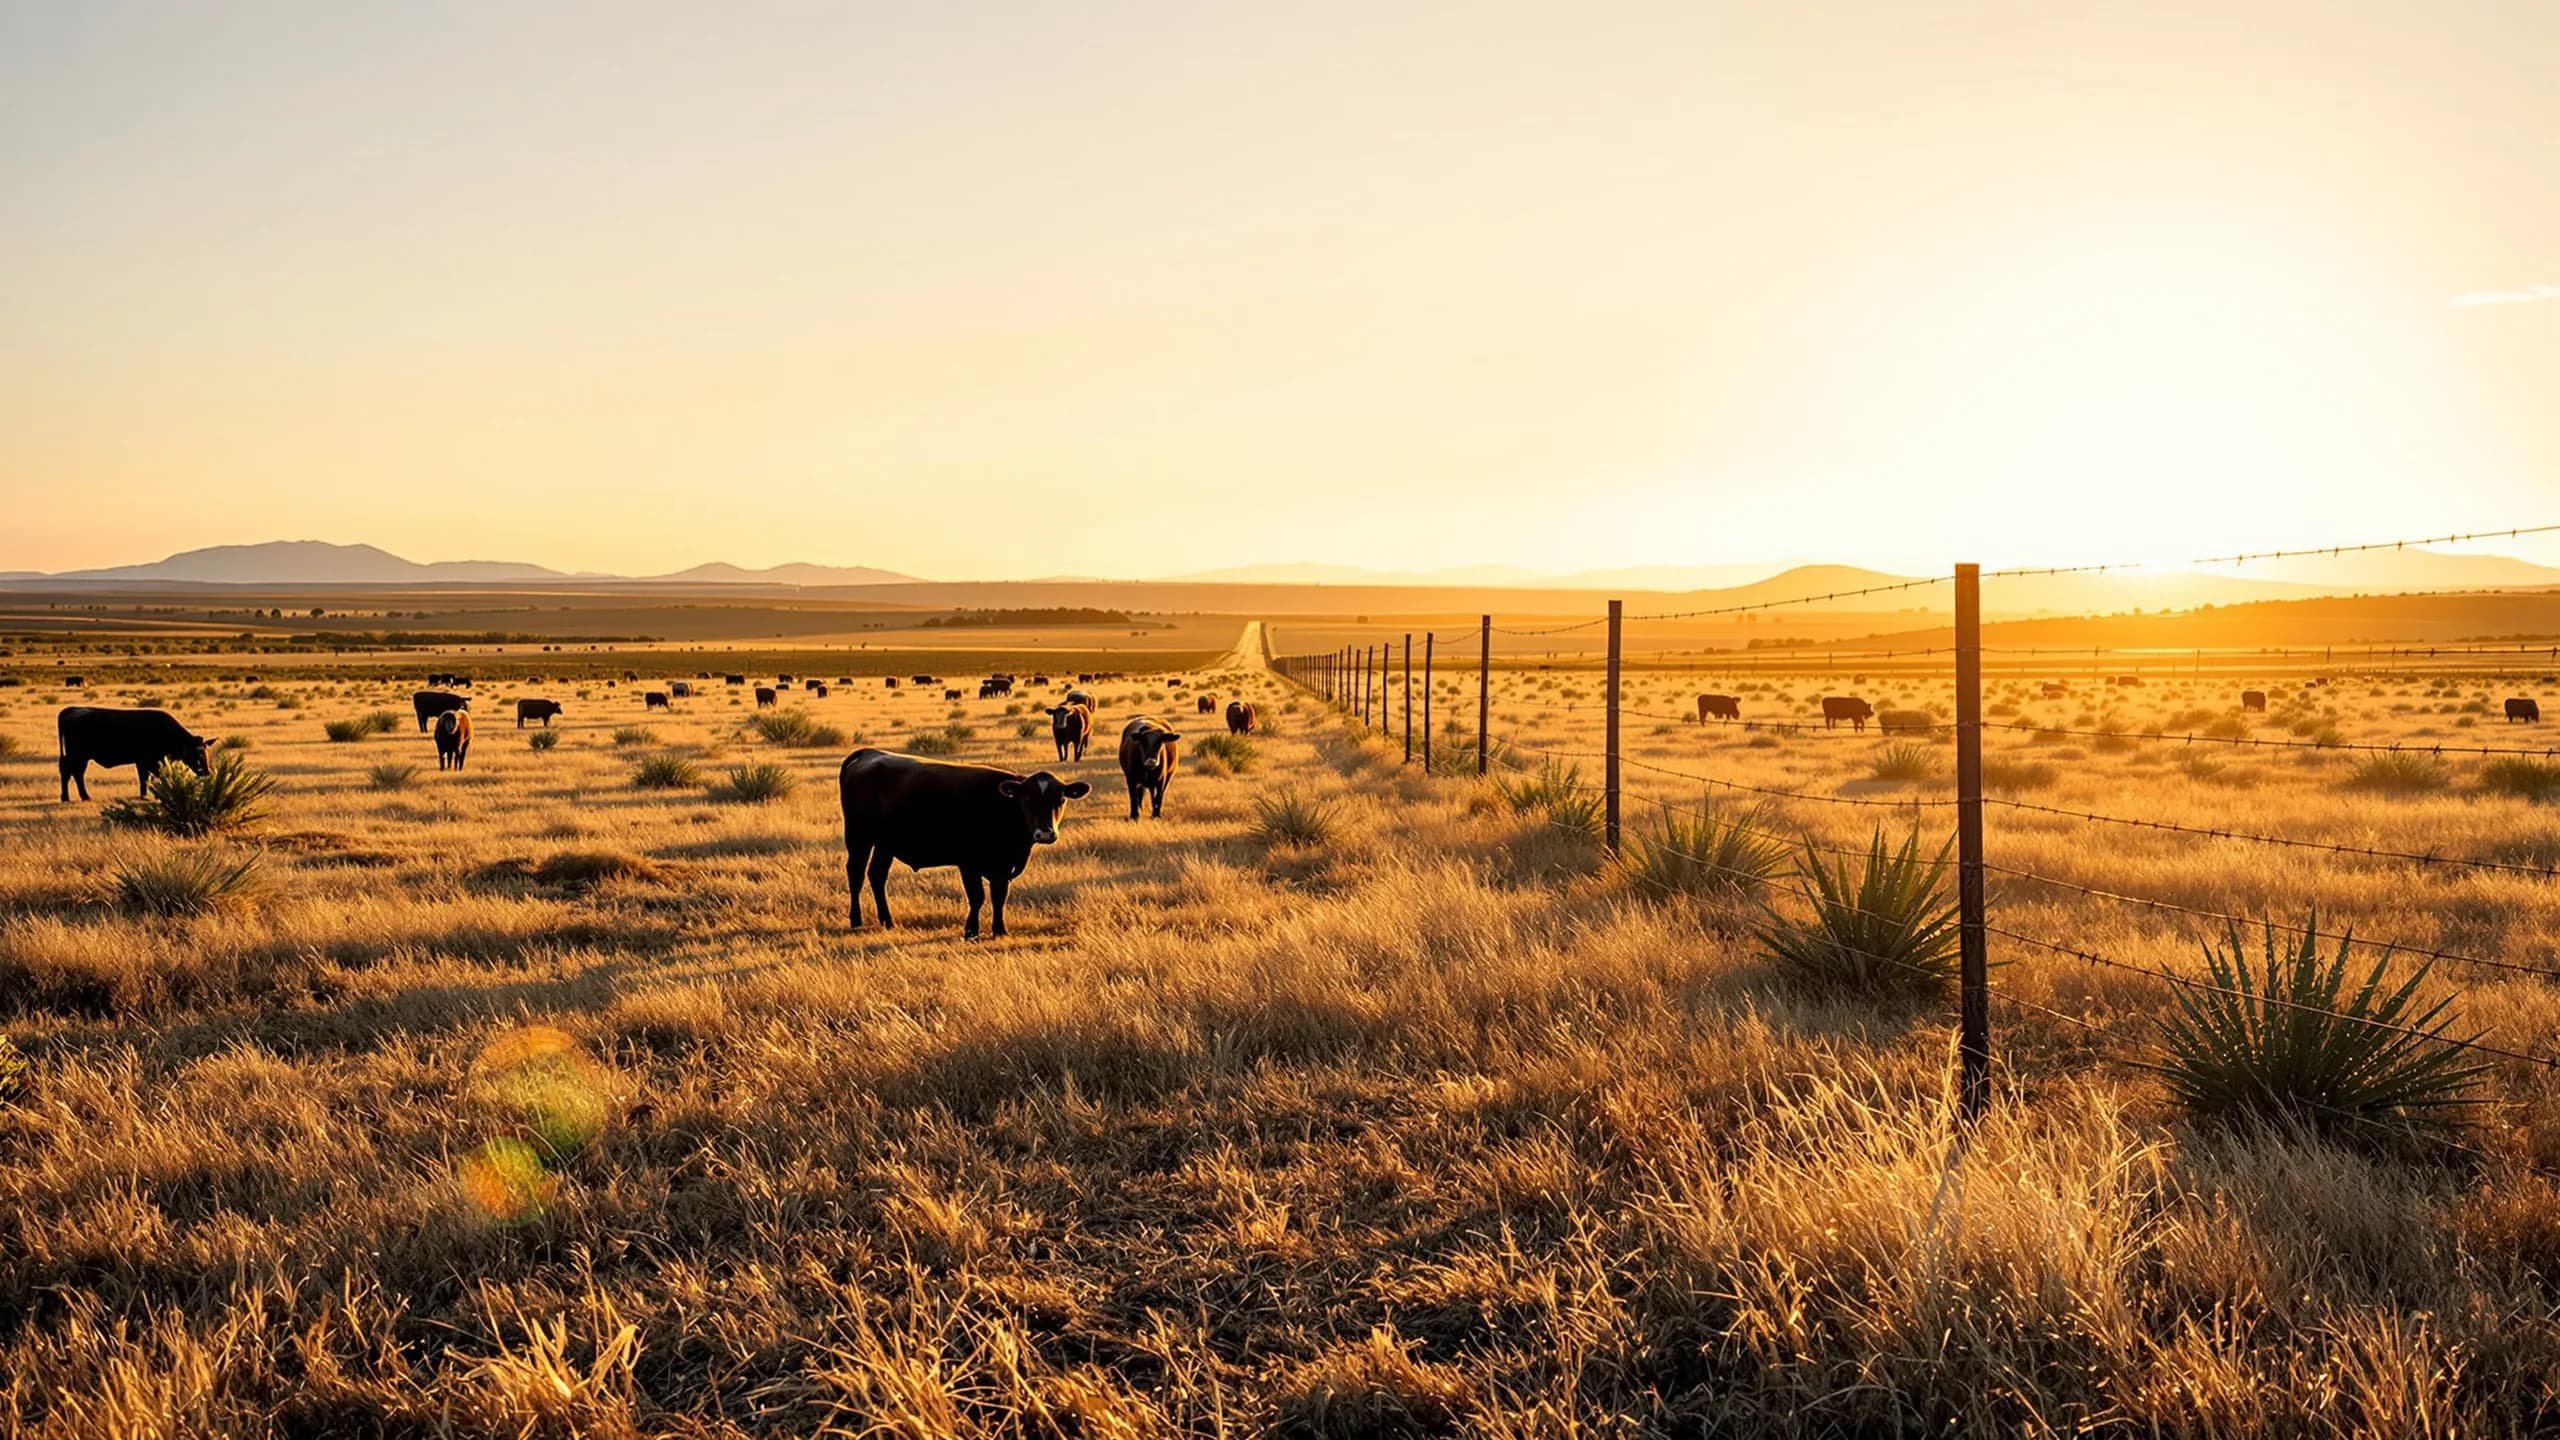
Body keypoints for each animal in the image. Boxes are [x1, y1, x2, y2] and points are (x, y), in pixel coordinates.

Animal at [57, 707, 212, 802]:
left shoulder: (144, 762)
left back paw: (67, 797)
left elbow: (145, 778)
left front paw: (144, 795)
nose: (206, 771)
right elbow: (147, 778)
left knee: (69, 773)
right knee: (74, 773)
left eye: (206, 752)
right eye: (197, 753)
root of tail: (72, 709)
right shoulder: (147, 761)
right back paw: (83, 797)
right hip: (78, 757)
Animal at [838, 749, 1091, 939]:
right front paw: (971, 931)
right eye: (1027, 799)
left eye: (1060, 799)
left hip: (885, 844)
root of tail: (869, 753)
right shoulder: (968, 862)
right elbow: (977, 896)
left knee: (877, 875)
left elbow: (999, 896)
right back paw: (856, 919)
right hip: (858, 836)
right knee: (856, 874)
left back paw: (887, 920)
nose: (1046, 833)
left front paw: (999, 930)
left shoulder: (1002, 866)